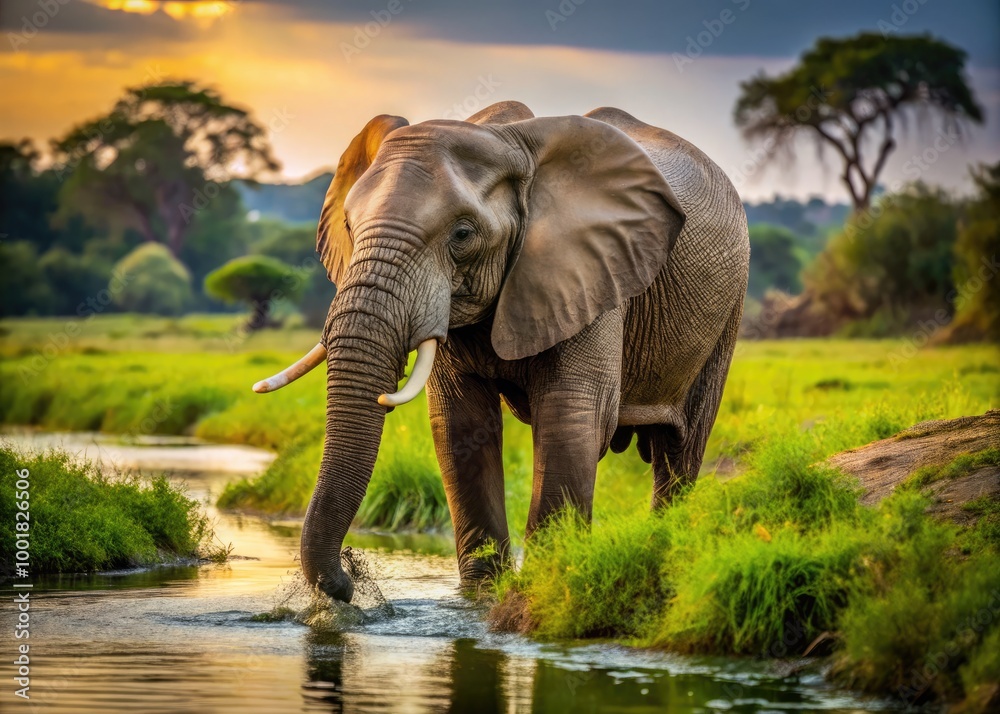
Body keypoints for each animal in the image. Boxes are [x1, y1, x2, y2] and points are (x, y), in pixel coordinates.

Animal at [252, 101, 750, 602]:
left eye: (462, 234)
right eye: (350, 227)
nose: (347, 581)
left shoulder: (595, 270)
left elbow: (571, 415)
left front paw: (544, 588)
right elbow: (461, 424)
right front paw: (481, 595)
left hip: (728, 308)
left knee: (680, 449)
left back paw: (666, 544)